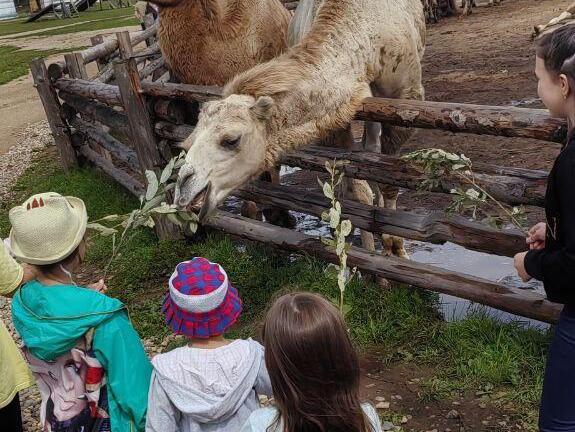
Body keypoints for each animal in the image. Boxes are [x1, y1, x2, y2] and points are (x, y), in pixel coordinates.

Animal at [173, 0, 426, 258]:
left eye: (231, 140)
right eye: (187, 142)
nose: (183, 186)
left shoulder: (407, 97)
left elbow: (389, 182)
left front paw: (394, 248)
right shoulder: (337, 119)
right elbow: (357, 187)